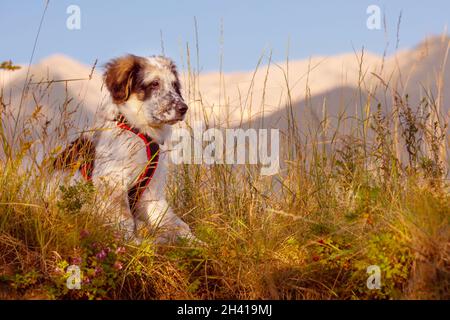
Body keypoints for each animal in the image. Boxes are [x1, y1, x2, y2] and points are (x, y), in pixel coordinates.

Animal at [54, 55, 192, 244]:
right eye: (154, 83)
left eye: (174, 85)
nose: (183, 108)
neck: (140, 130)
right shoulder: (113, 182)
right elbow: (124, 219)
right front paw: (133, 244)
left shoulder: (151, 194)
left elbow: (176, 223)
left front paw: (196, 243)